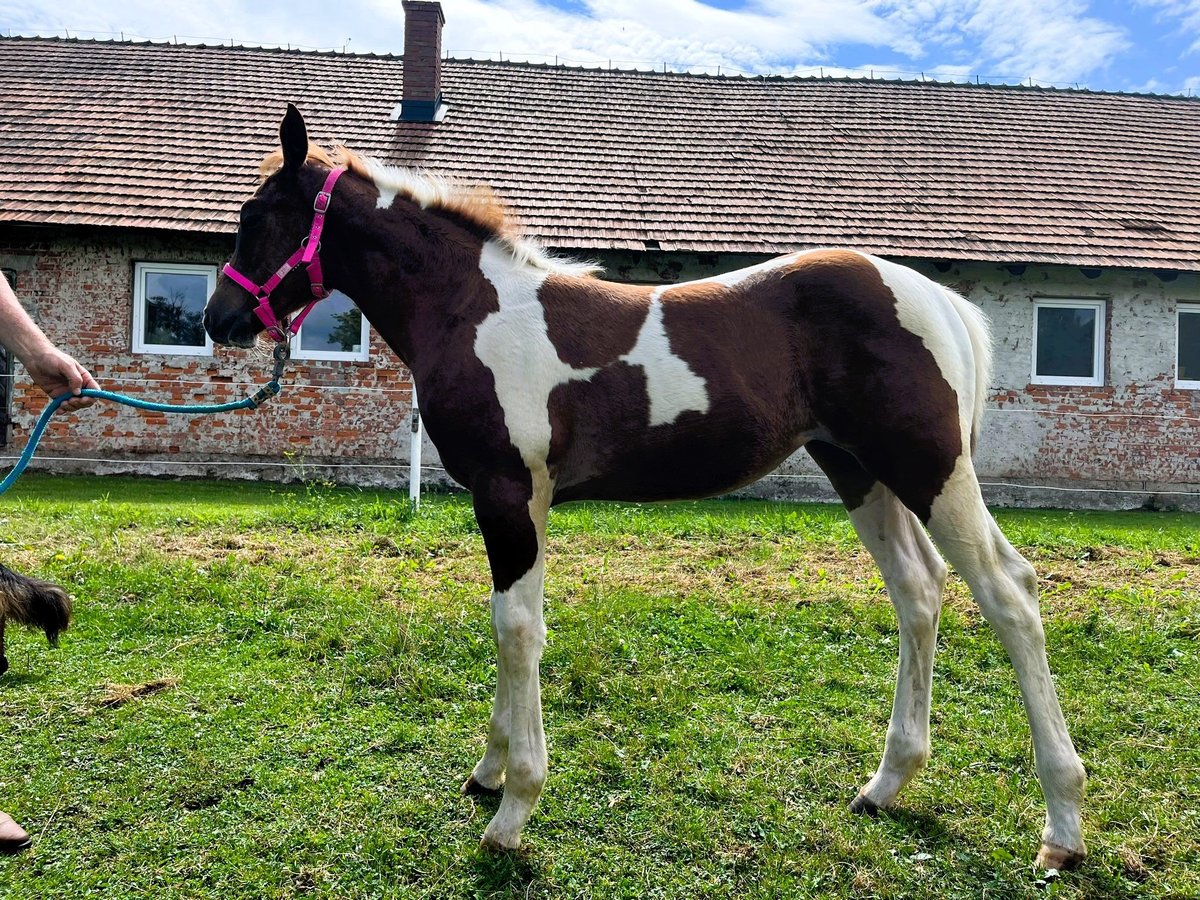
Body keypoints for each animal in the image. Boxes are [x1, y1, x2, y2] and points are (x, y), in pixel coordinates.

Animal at [204, 105, 1089, 873]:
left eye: (255, 217)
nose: (219, 319)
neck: (474, 310)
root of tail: (936, 297)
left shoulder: (509, 493)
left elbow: (516, 630)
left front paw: (513, 809)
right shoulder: (515, 503)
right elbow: (510, 626)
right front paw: (489, 771)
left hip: (928, 469)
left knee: (1010, 594)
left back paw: (1062, 826)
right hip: (860, 470)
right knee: (919, 591)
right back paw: (886, 783)